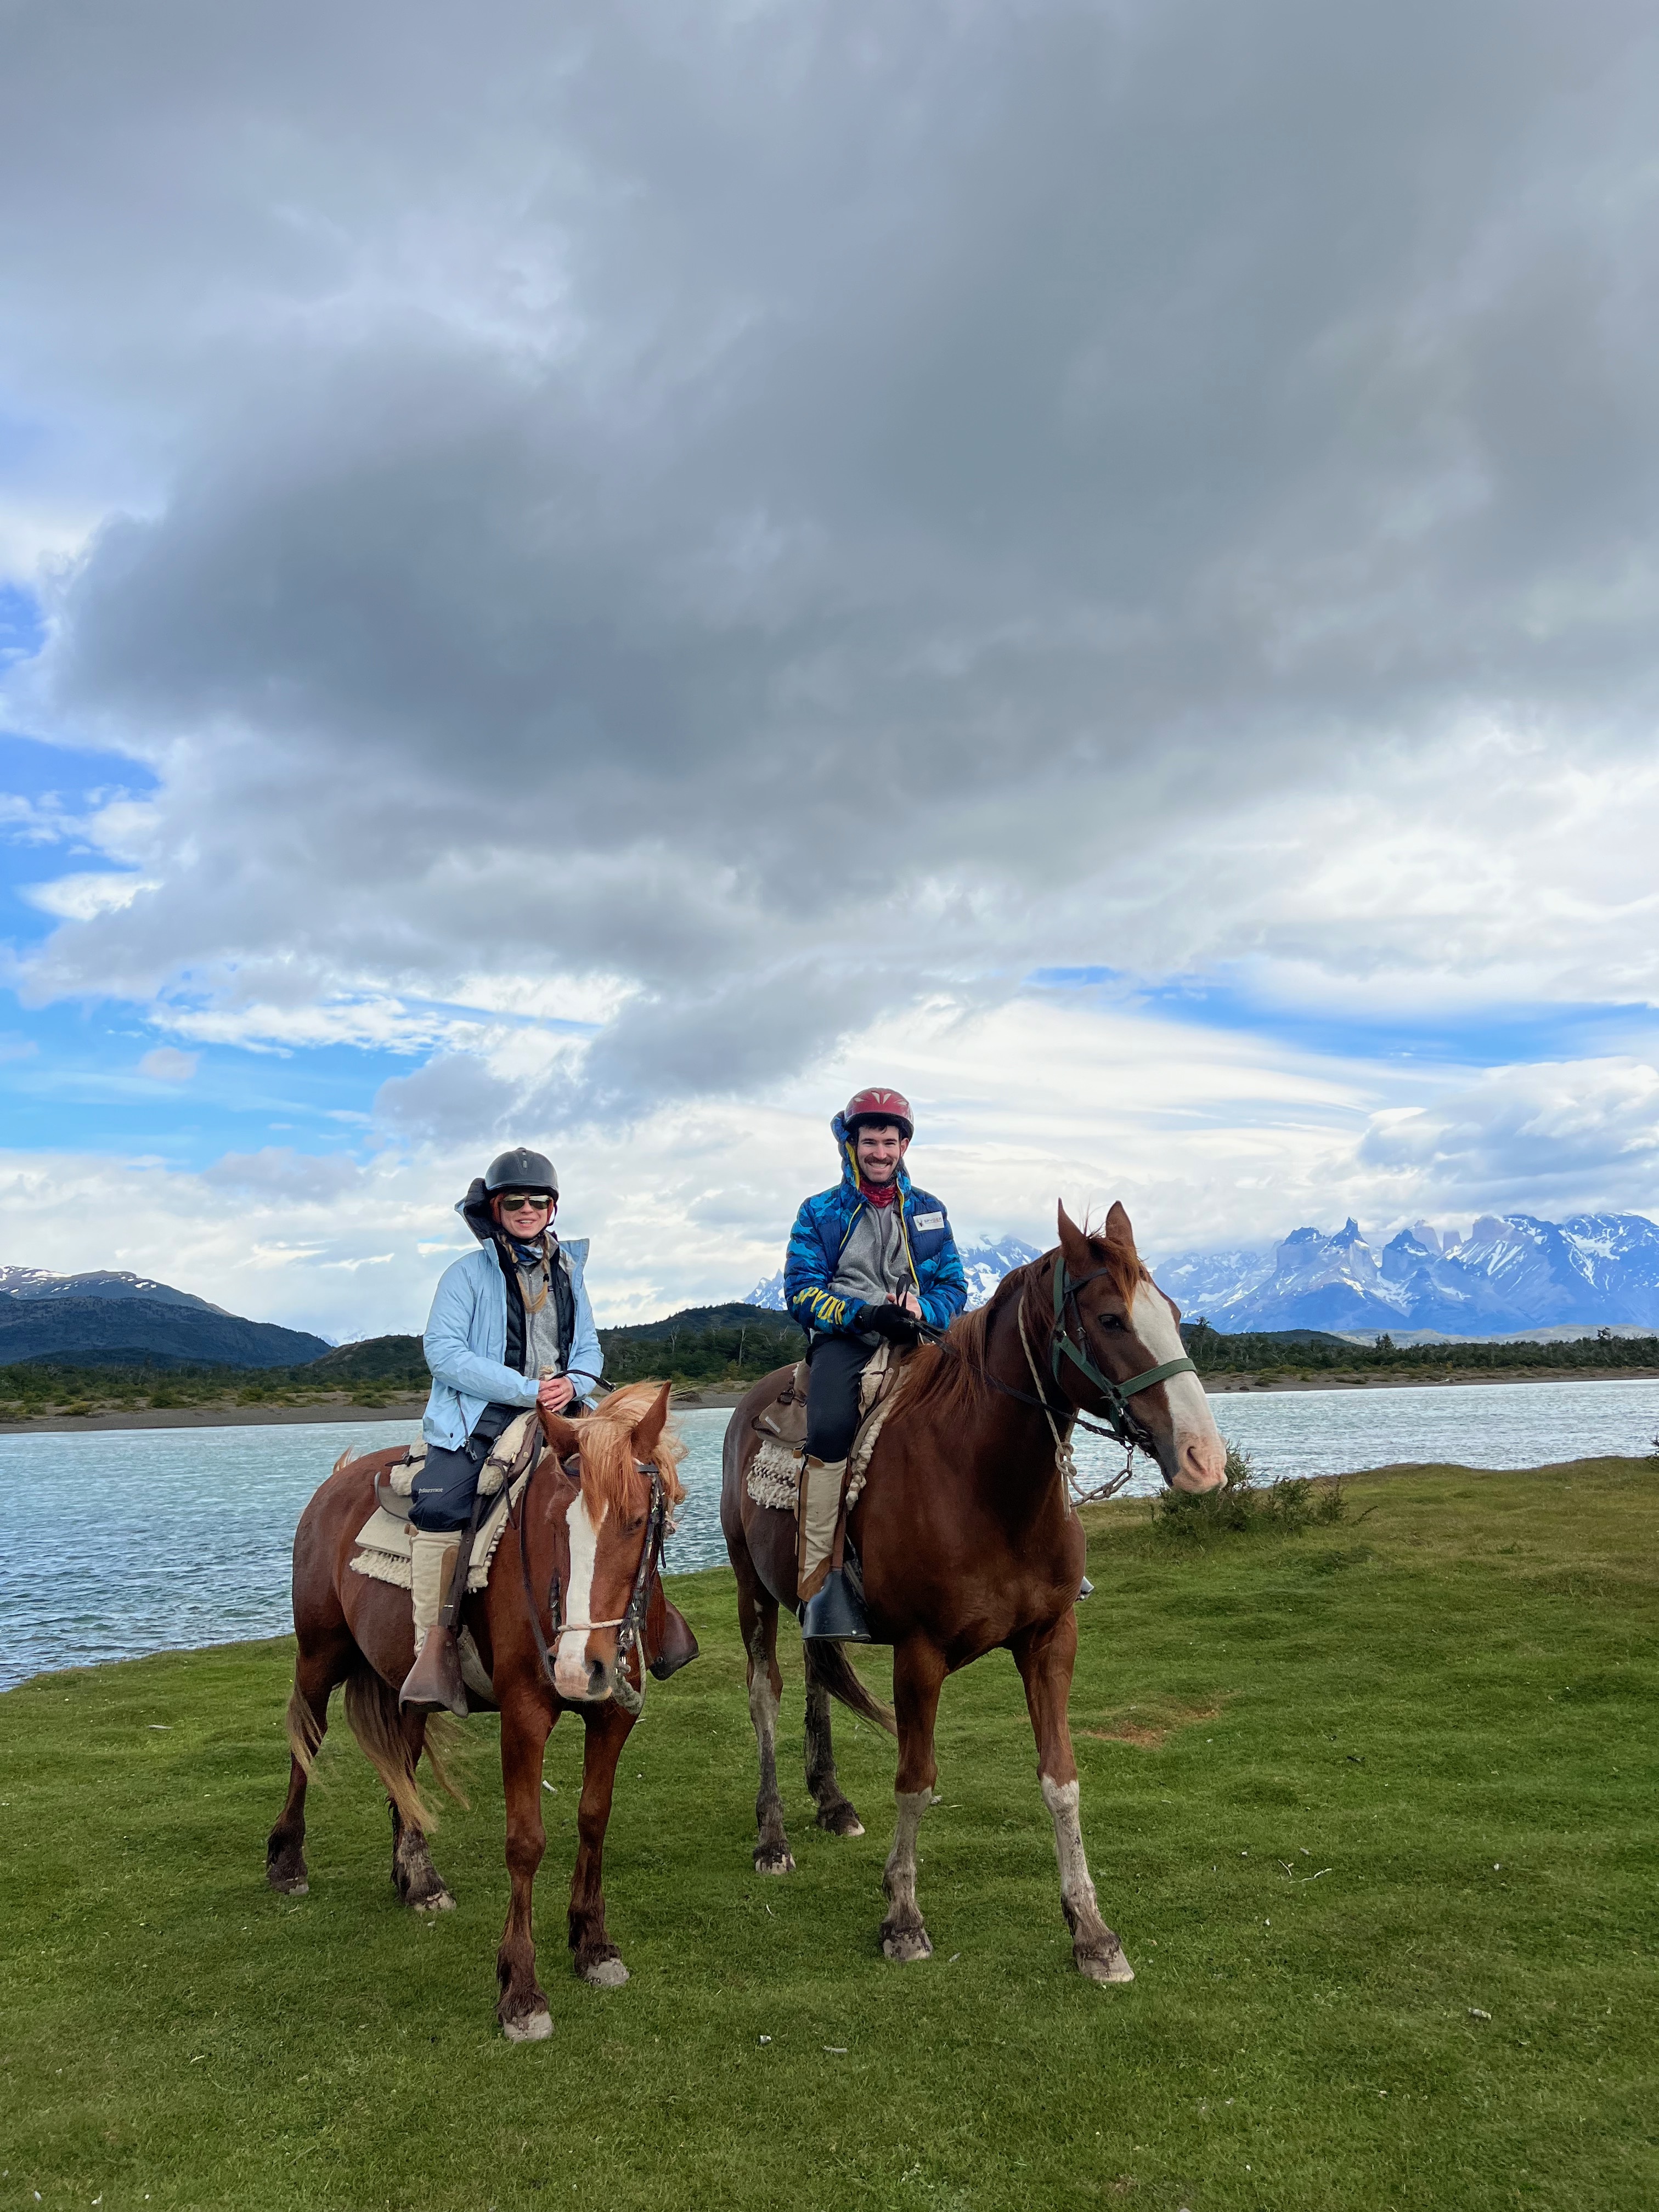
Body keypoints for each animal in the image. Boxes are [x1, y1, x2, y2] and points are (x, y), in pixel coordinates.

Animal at [269, 1380, 685, 2035]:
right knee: (305, 1746)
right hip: (319, 1657)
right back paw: (287, 1864)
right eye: (553, 1525)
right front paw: (520, 1990)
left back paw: (418, 1881)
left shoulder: (614, 1717)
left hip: (406, 1687)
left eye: (638, 1520)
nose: (578, 1668)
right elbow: (526, 1841)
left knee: (404, 1767)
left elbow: (594, 1819)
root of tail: (335, 1484)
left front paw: (593, 1945)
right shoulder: (523, 1718)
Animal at [725, 1203, 1238, 1982]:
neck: (984, 1487)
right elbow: (916, 1780)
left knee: (816, 1677)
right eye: (1112, 1319)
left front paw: (1092, 1931)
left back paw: (834, 1803)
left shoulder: (1050, 1641)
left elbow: (1061, 1779)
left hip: (809, 1604)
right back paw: (772, 1836)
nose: (1203, 1461)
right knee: (766, 1695)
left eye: (1175, 1315)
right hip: (749, 1587)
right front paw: (903, 1919)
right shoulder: (919, 1654)